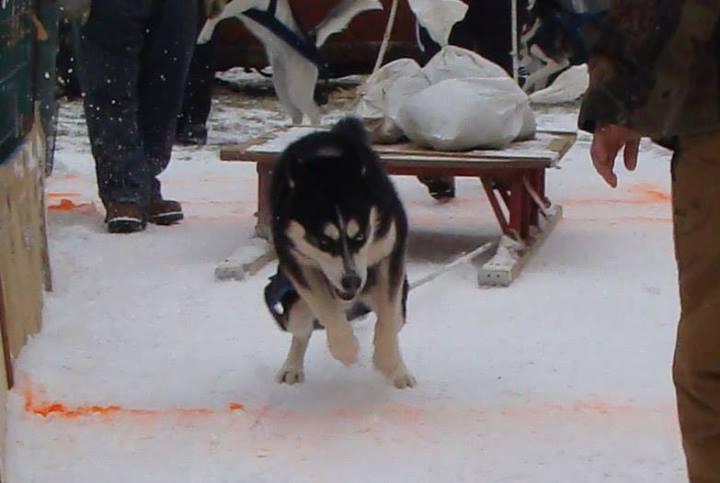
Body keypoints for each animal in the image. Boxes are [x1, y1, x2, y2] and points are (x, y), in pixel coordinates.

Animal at [198, 0, 382, 126]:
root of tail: (312, 41)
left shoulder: (244, 3)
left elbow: (217, 15)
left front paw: (203, 35)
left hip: (298, 90)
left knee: (314, 113)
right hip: (283, 89)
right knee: (297, 114)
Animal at [264, 117, 414, 390]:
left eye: (361, 237)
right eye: (323, 241)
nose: (352, 281)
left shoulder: (391, 254)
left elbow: (388, 318)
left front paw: (387, 360)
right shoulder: (297, 262)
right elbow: (325, 309)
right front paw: (346, 349)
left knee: (394, 318)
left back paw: (399, 369)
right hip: (294, 305)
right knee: (301, 330)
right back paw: (292, 366)